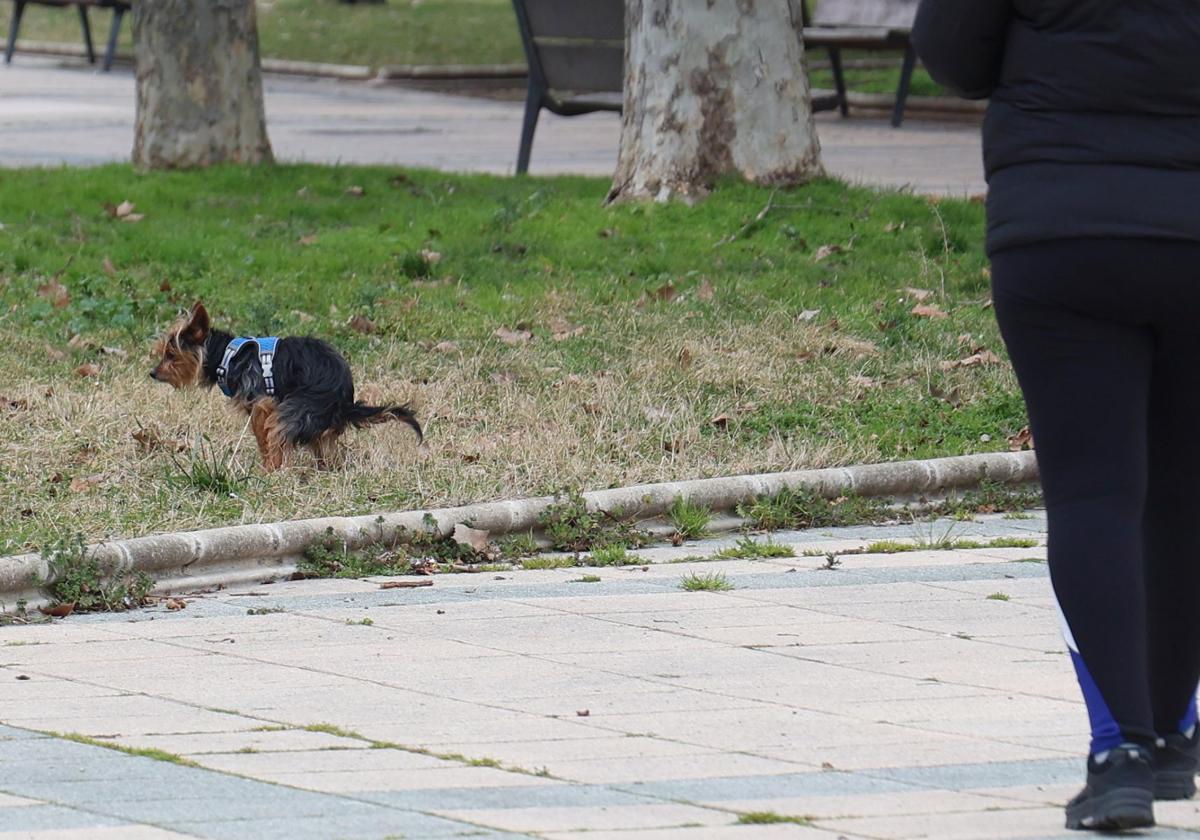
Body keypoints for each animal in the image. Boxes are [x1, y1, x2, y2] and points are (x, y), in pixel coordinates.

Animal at [151, 303, 422, 472]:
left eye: (171, 355)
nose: (152, 372)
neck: (228, 356)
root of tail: (345, 402)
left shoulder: (262, 403)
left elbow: (263, 439)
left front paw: (265, 468)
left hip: (296, 410)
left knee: (280, 433)